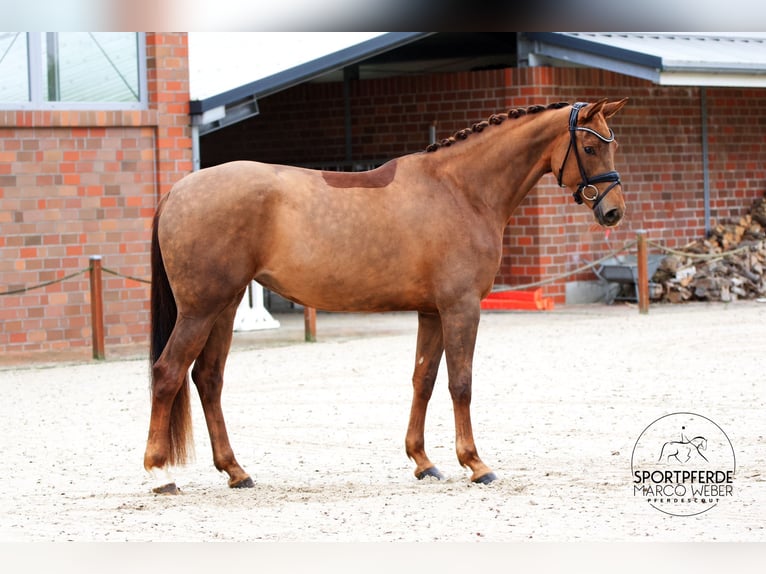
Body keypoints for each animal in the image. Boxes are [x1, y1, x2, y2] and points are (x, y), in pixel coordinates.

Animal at [144, 100, 632, 496]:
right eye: (590, 148)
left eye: (611, 145)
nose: (613, 212)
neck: (460, 190)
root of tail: (175, 191)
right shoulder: (461, 308)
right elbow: (461, 383)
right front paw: (475, 463)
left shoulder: (431, 312)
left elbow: (424, 380)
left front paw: (423, 461)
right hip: (200, 311)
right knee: (168, 374)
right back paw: (159, 473)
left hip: (223, 308)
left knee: (208, 379)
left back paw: (236, 471)